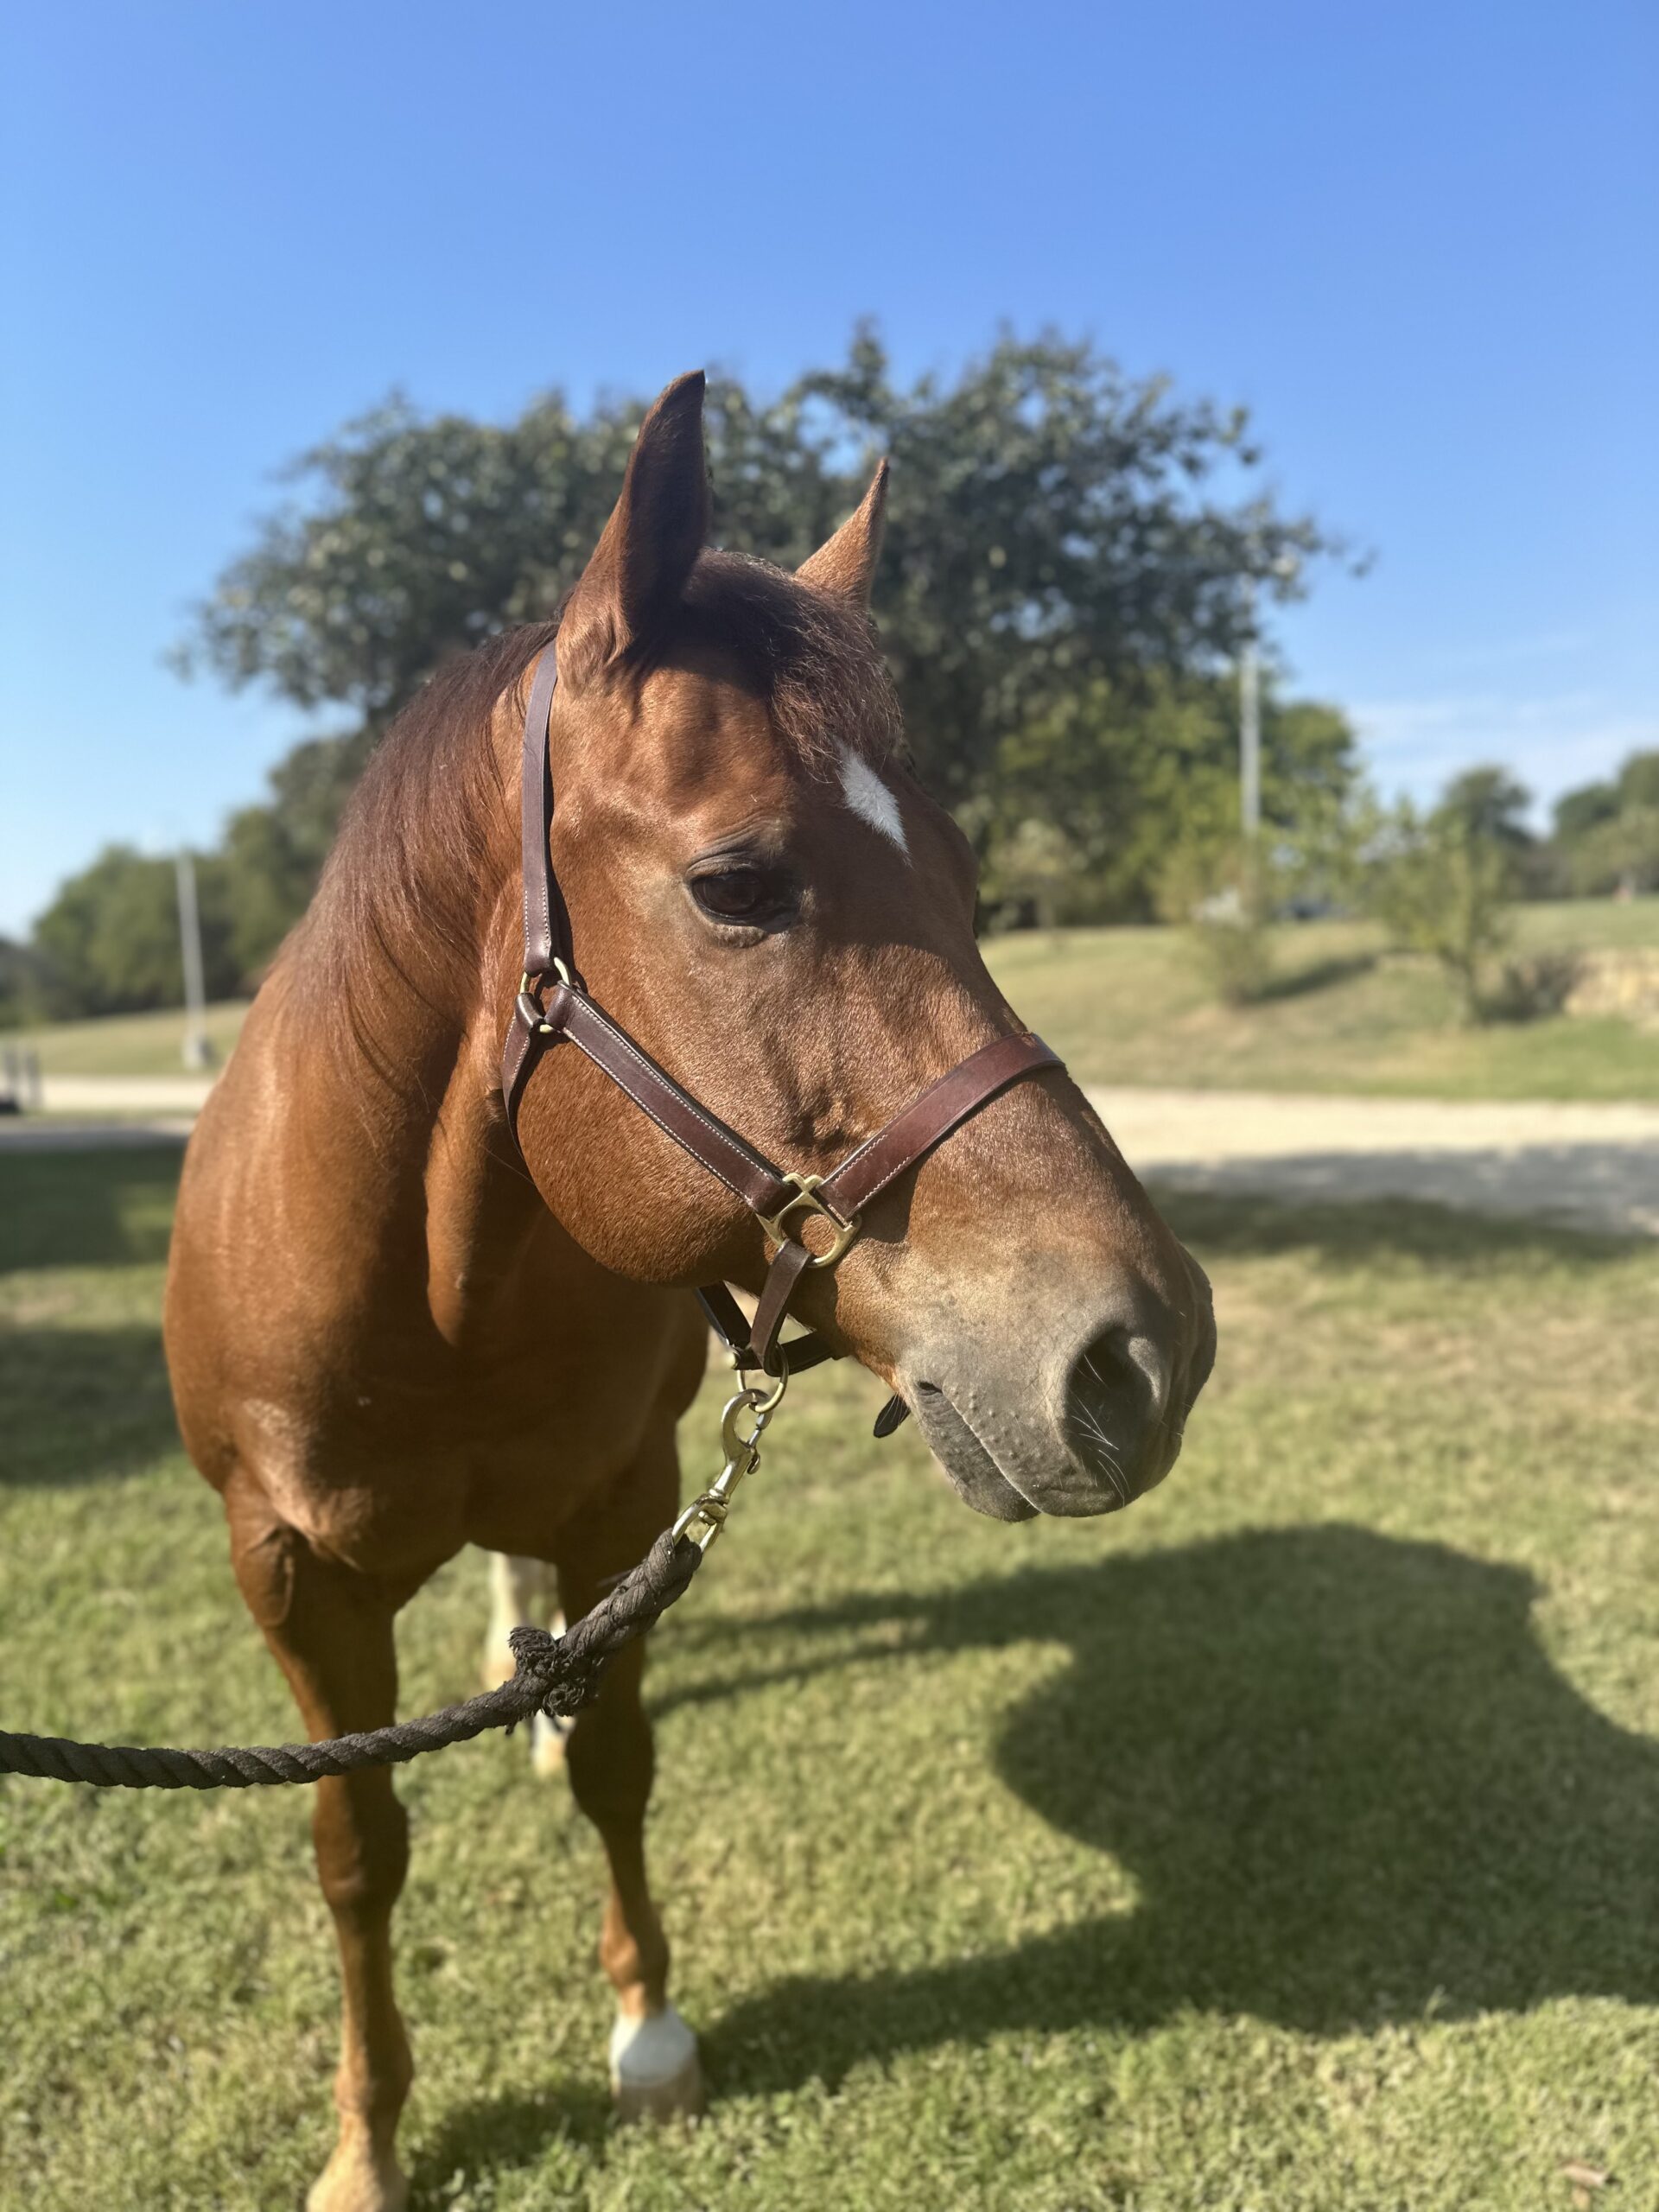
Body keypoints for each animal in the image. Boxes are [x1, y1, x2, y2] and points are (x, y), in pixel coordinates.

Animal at [166, 372, 1221, 2202]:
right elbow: (356, 1842)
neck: (424, 1296)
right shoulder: (290, 1576)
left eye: (970, 874)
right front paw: (367, 2140)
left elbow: (616, 1762)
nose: (1142, 1355)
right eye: (738, 883)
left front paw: (648, 2036)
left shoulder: (620, 1501)